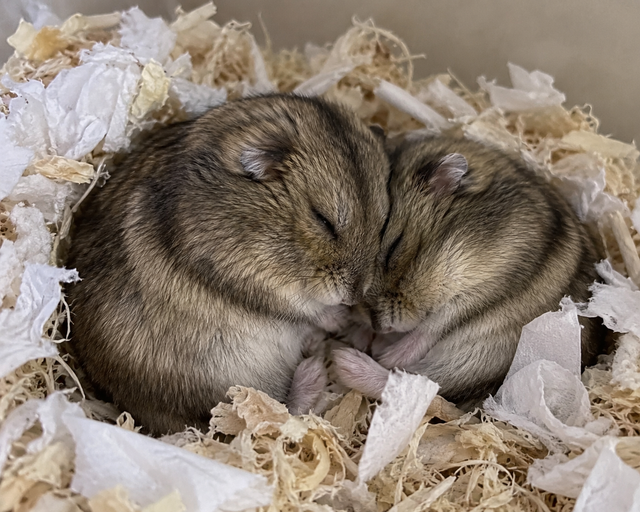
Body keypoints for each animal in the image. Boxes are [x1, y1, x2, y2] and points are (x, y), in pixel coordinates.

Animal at [66, 94, 390, 434]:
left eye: (383, 225)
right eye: (322, 220)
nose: (354, 297)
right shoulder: (247, 278)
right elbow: (306, 309)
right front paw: (340, 318)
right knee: (271, 413)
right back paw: (315, 370)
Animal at [334, 135, 604, 405]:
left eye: (393, 248)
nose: (380, 327)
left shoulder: (489, 286)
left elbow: (433, 327)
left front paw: (388, 353)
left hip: (485, 357)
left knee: (428, 383)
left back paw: (350, 359)